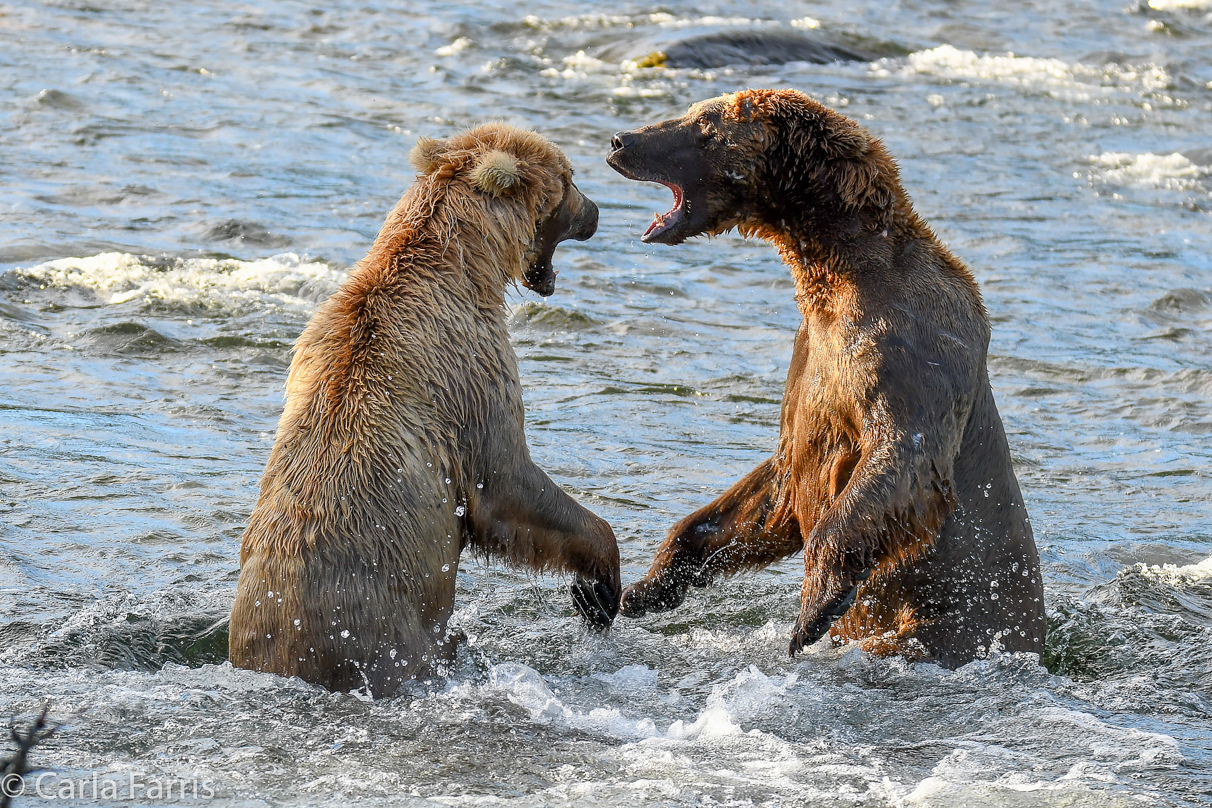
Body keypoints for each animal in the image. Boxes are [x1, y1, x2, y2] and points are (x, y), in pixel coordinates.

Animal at [230, 124, 620, 697]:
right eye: (569, 178)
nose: (595, 211)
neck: (468, 266)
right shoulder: (469, 373)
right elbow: (506, 482)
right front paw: (599, 586)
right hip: (386, 636)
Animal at [610, 90, 1047, 668]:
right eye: (692, 111)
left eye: (703, 123)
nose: (621, 140)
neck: (837, 270)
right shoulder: (809, 358)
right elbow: (773, 488)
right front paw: (647, 585)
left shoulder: (906, 345)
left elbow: (902, 452)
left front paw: (812, 611)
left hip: (951, 625)